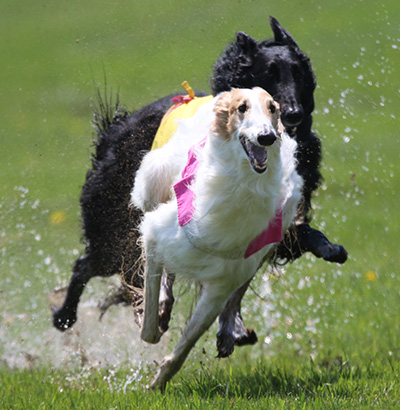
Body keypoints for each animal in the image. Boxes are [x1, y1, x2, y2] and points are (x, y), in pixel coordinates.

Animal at [53, 16, 346, 356]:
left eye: (298, 72)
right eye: (268, 74)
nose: (293, 114)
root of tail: (115, 129)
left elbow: (293, 239)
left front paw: (329, 247)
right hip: (112, 226)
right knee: (86, 264)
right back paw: (66, 316)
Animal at [131, 88, 304, 390]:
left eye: (272, 108)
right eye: (242, 108)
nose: (267, 137)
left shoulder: (222, 284)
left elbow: (185, 345)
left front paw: (158, 383)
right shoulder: (155, 234)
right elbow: (149, 330)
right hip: (154, 181)